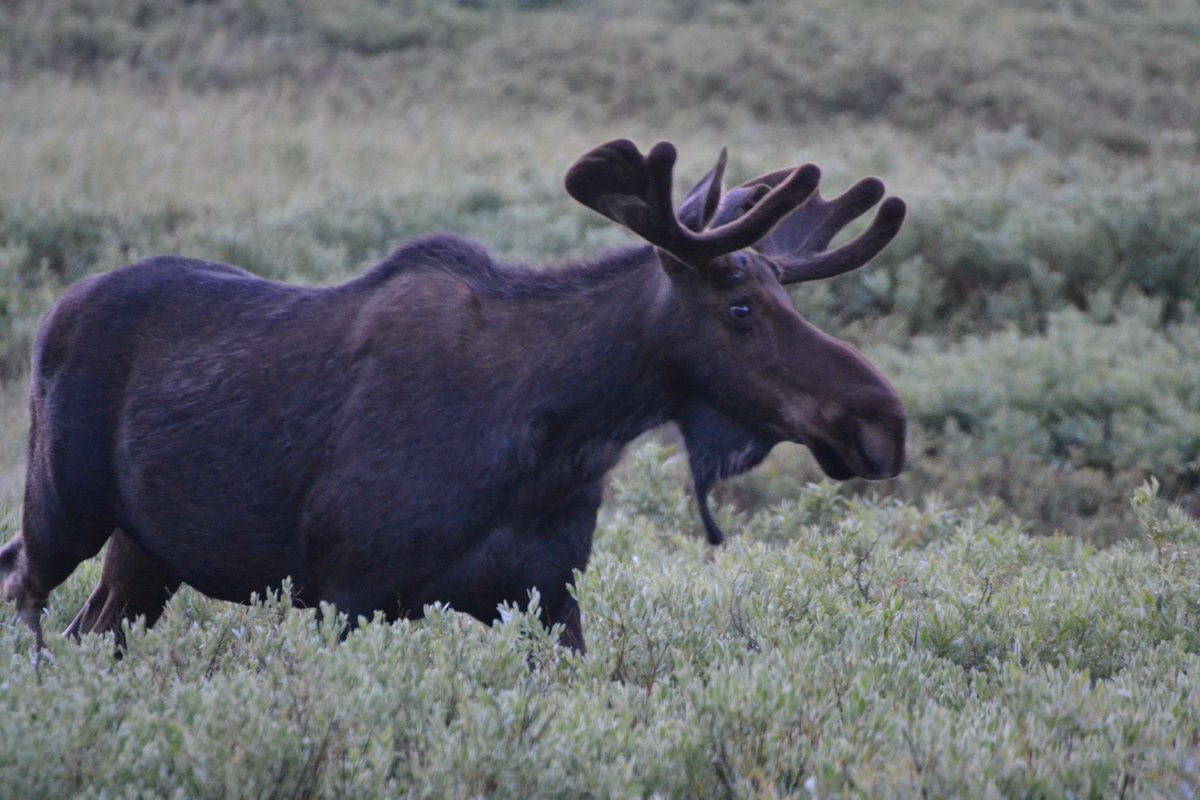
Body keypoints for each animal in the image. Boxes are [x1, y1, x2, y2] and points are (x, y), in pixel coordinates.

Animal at [0, 138, 906, 653]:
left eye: (789, 297)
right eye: (740, 308)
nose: (884, 422)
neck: (560, 441)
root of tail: (54, 310)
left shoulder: (548, 598)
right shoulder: (347, 590)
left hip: (145, 556)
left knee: (91, 633)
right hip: (61, 507)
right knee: (25, 594)